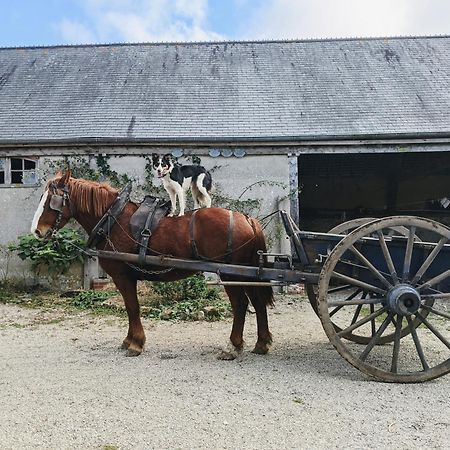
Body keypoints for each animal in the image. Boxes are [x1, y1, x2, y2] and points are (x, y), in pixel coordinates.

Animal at [31, 171, 274, 358]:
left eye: (52, 200)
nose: (37, 231)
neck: (113, 219)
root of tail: (246, 218)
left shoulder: (123, 277)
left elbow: (132, 307)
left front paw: (136, 343)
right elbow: (130, 308)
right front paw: (129, 340)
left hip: (232, 274)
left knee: (241, 305)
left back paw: (233, 346)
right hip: (246, 274)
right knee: (257, 303)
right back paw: (261, 344)